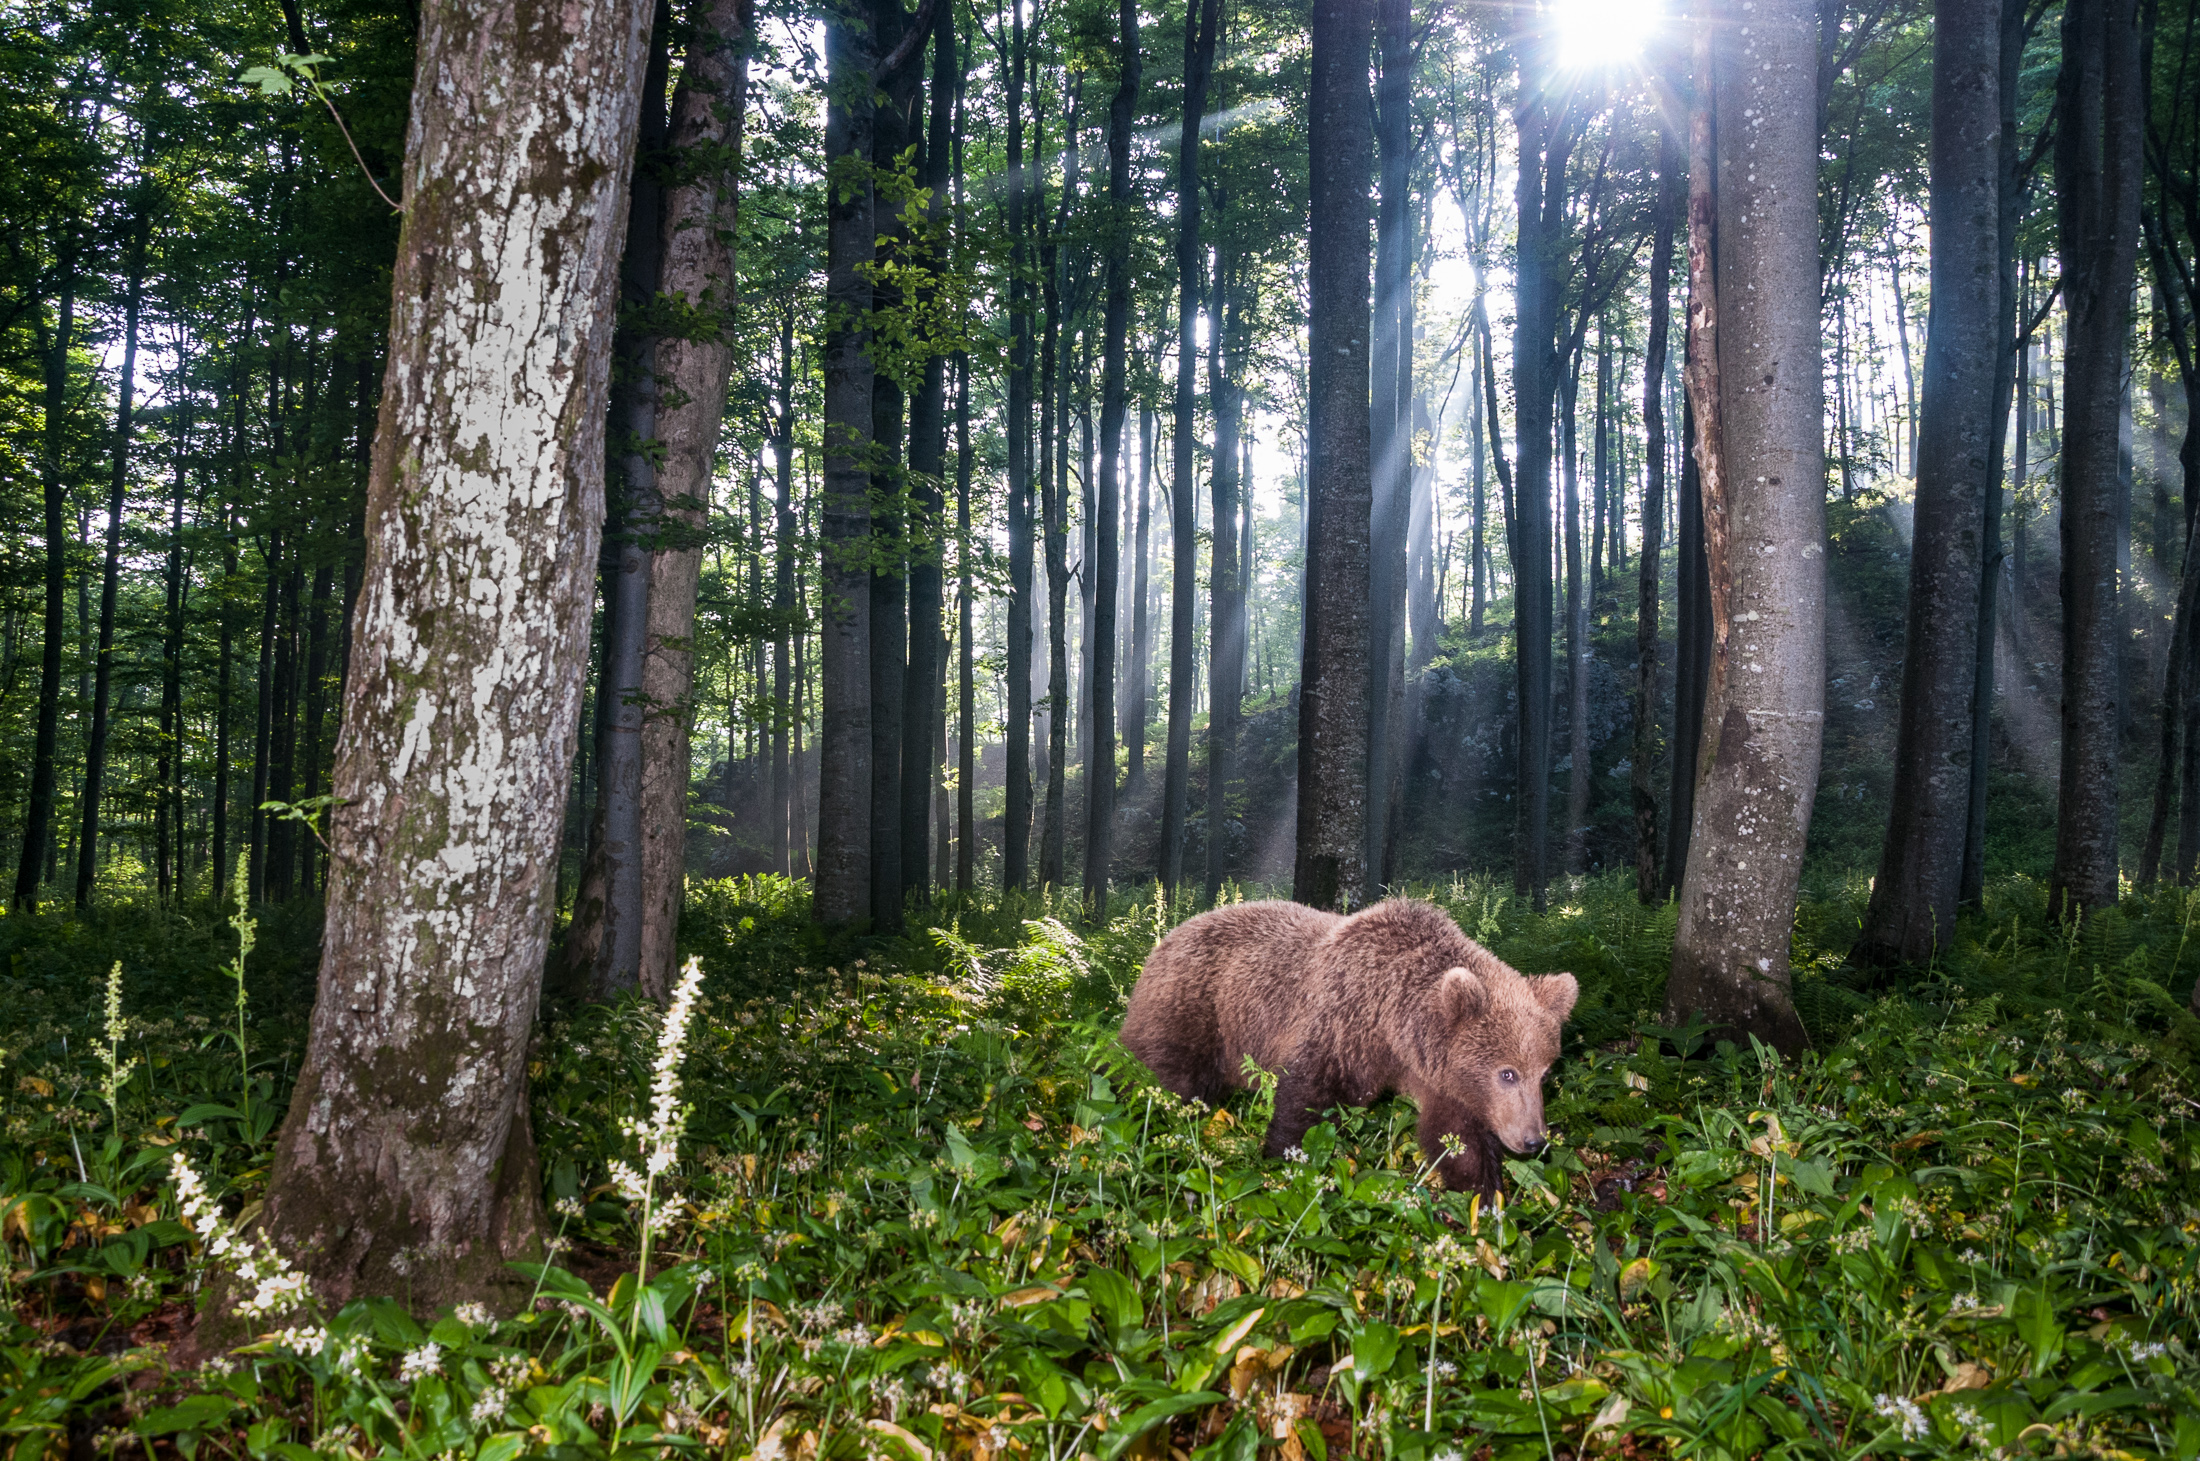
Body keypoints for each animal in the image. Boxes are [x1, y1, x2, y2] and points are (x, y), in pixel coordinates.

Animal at [1126, 897, 1575, 1196]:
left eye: (1544, 1073)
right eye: (1507, 1073)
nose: (1533, 1140)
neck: (1394, 1025)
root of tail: (1165, 939)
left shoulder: (1440, 1075)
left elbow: (1456, 1134)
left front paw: (1483, 1195)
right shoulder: (1343, 1026)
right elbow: (1307, 1104)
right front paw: (1286, 1164)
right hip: (1196, 1011)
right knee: (1168, 1077)